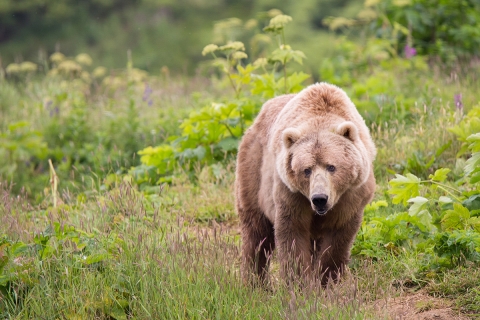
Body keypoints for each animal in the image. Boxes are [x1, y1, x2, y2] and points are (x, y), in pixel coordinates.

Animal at [234, 82, 376, 284]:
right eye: (306, 170)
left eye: (331, 167)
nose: (319, 198)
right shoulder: (290, 194)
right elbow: (293, 234)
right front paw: (300, 281)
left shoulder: (351, 195)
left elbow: (338, 236)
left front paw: (327, 279)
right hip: (254, 169)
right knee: (256, 231)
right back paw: (254, 280)